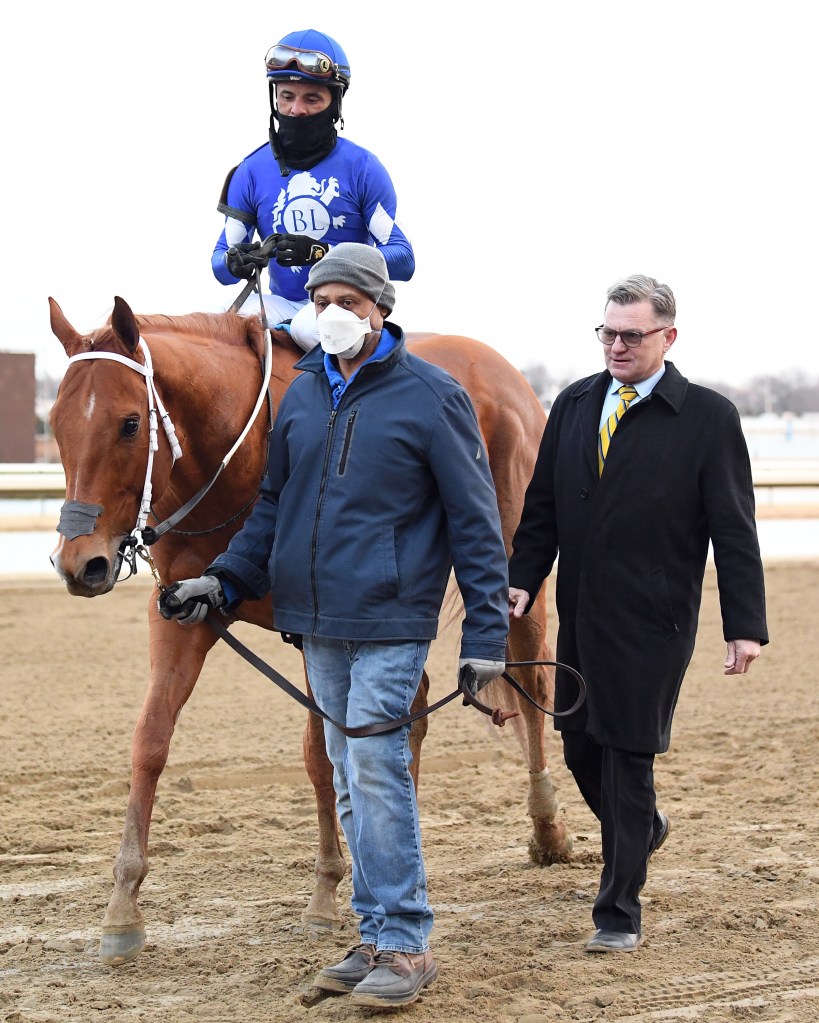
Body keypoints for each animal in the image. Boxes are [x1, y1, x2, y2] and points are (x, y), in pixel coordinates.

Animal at [44, 296, 568, 965]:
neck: (236, 457)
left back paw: (548, 828)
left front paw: (325, 891)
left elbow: (321, 753)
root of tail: (510, 377)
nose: (80, 563)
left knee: (532, 685)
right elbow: (150, 741)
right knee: (409, 710)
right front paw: (121, 907)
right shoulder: (183, 614)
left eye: (130, 423)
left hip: (510, 566)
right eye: (58, 422)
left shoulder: (315, 625)